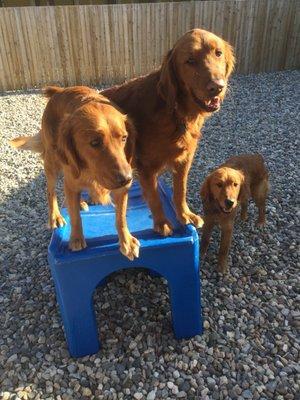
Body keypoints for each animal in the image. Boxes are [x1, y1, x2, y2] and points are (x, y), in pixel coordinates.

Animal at [9, 86, 141, 260]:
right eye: (94, 142)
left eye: (124, 138)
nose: (127, 179)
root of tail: (59, 90)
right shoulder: (72, 179)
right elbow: (75, 216)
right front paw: (76, 238)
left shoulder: (120, 188)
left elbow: (121, 216)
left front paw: (126, 241)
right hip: (52, 163)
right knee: (51, 191)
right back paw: (55, 216)